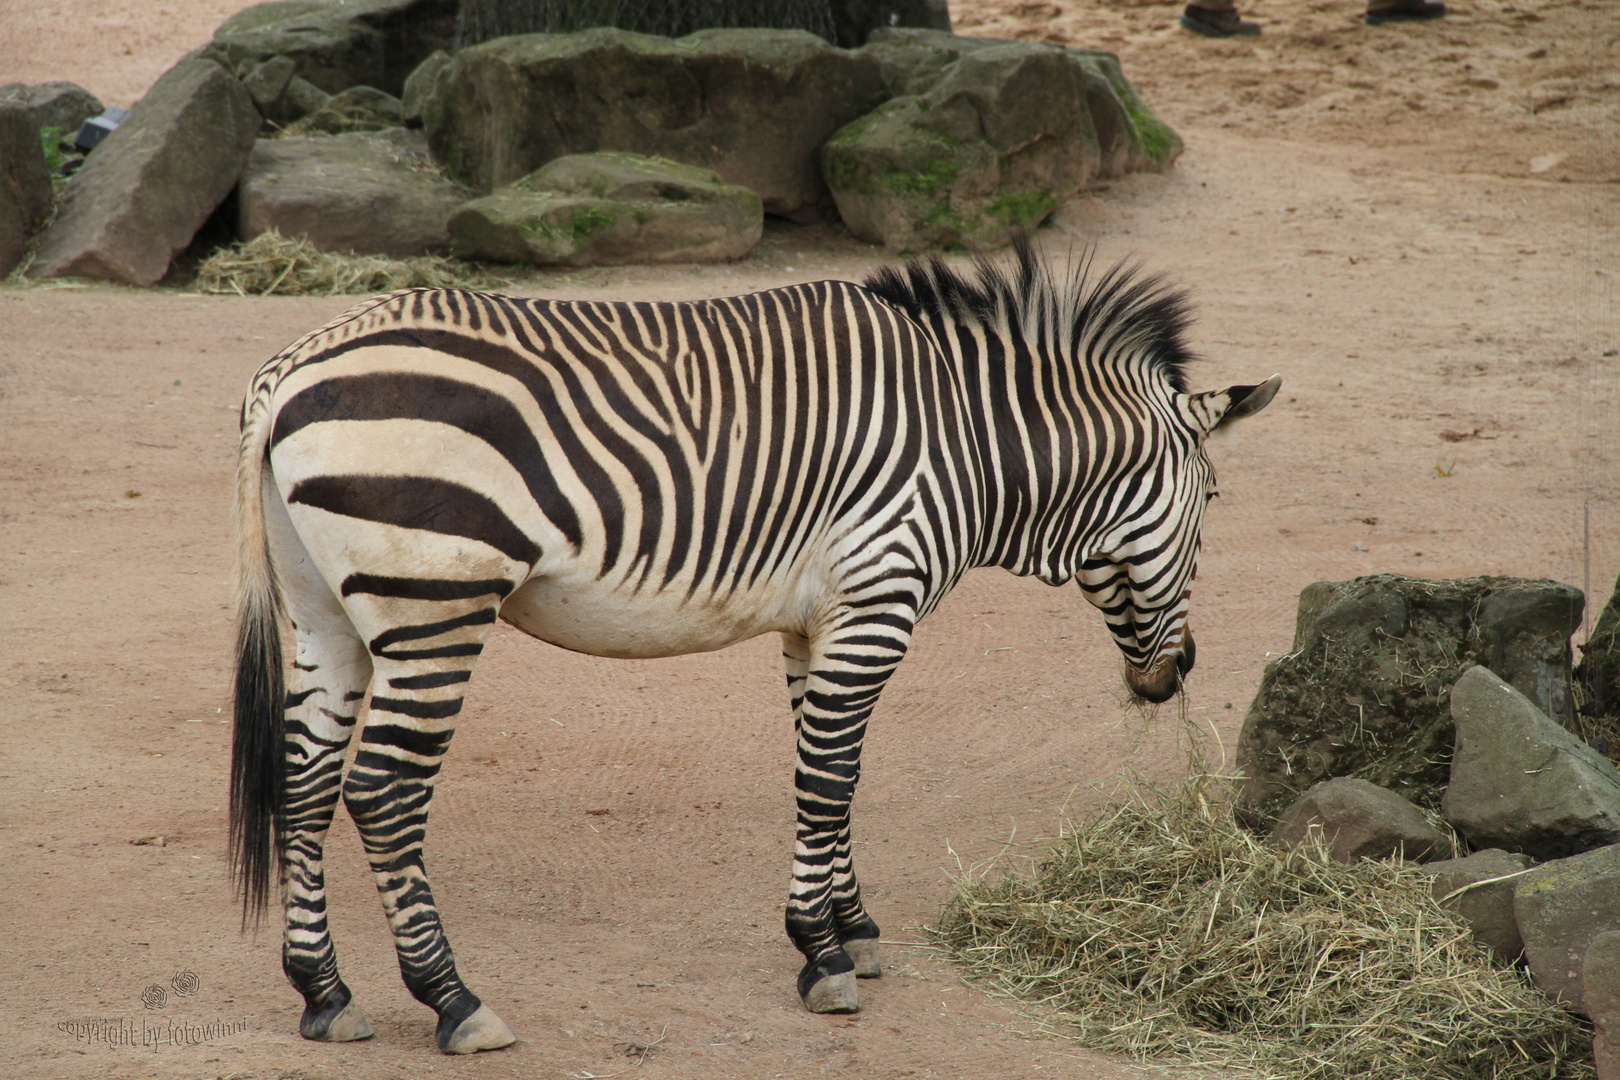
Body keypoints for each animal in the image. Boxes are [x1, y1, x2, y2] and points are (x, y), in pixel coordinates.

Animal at [234, 242, 1283, 1055]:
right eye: (1215, 500)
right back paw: (453, 1001)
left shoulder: (818, 622)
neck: (974, 441)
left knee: (306, 780)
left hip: (325, 611)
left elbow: (834, 770)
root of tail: (291, 367)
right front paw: (819, 955)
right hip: (434, 604)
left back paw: (324, 993)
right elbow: (829, 774)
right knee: (383, 793)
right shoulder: (876, 601)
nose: (1179, 673)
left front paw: (849, 928)